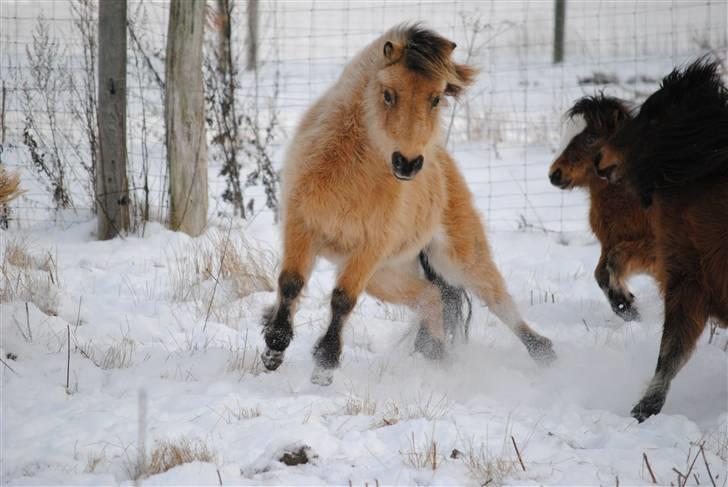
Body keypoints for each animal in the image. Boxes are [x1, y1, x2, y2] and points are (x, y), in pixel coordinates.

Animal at [264, 24, 556, 386]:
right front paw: (273, 348)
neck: (348, 173)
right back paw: (439, 358)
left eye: (435, 98)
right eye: (388, 94)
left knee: (500, 302)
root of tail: (444, 164)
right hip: (386, 275)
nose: (407, 163)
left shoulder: (368, 248)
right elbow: (290, 283)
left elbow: (342, 299)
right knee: (432, 297)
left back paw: (544, 354)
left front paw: (324, 366)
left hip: (460, 260)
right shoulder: (301, 228)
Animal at [548, 96, 656, 322]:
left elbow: (616, 260)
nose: (554, 174)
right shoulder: (610, 241)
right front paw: (626, 307)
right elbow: (602, 274)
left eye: (591, 138)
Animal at [596, 58, 728, 424]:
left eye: (652, 116)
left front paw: (644, 409)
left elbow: (671, 350)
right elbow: (671, 352)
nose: (600, 158)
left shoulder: (687, 280)